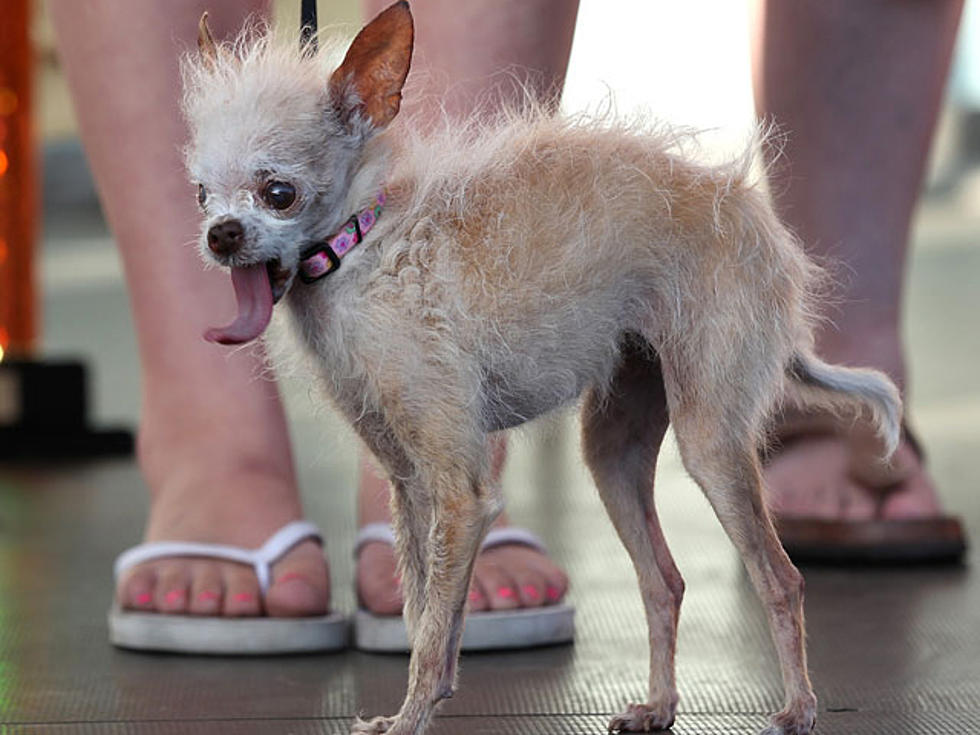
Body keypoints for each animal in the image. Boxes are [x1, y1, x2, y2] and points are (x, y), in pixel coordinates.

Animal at [180, 2, 900, 732]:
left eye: (279, 193)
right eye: (203, 195)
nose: (221, 236)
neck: (365, 247)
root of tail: (766, 233)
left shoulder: (460, 492)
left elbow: (433, 628)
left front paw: (411, 716)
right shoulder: (409, 483)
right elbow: (421, 609)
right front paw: (422, 700)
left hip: (711, 440)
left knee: (780, 579)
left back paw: (798, 708)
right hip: (612, 451)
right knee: (663, 581)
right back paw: (659, 705)